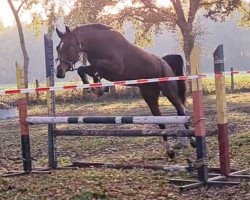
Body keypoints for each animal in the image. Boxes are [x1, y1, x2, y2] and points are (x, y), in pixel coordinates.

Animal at [55, 23, 194, 157]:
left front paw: (99, 88)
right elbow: (82, 70)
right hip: (149, 95)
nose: (59, 73)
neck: (99, 43)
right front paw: (95, 88)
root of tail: (165, 63)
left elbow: (95, 68)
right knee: (160, 119)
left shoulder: (115, 68)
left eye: (69, 47)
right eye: (57, 48)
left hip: (169, 92)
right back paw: (169, 151)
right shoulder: (97, 67)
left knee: (181, 110)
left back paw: (192, 140)